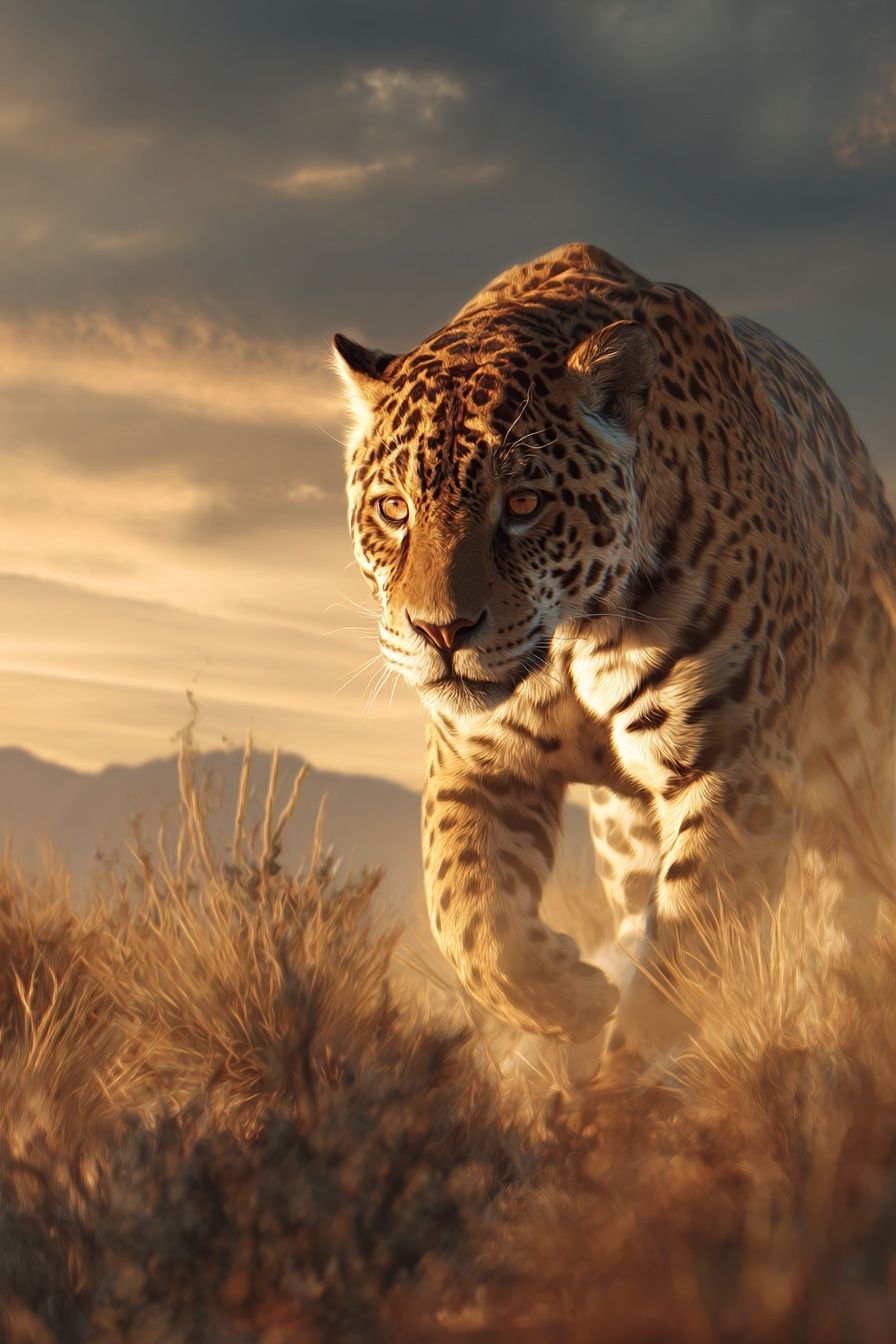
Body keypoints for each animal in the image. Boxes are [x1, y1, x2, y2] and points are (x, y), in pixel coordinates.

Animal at [333, 242, 896, 1066]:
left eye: (523, 504)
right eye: (393, 509)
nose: (440, 631)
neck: (577, 637)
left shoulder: (738, 767)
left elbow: (693, 950)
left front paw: (629, 1079)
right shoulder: (476, 761)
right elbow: (468, 916)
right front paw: (571, 999)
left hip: (853, 763)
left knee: (847, 910)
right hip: (626, 835)